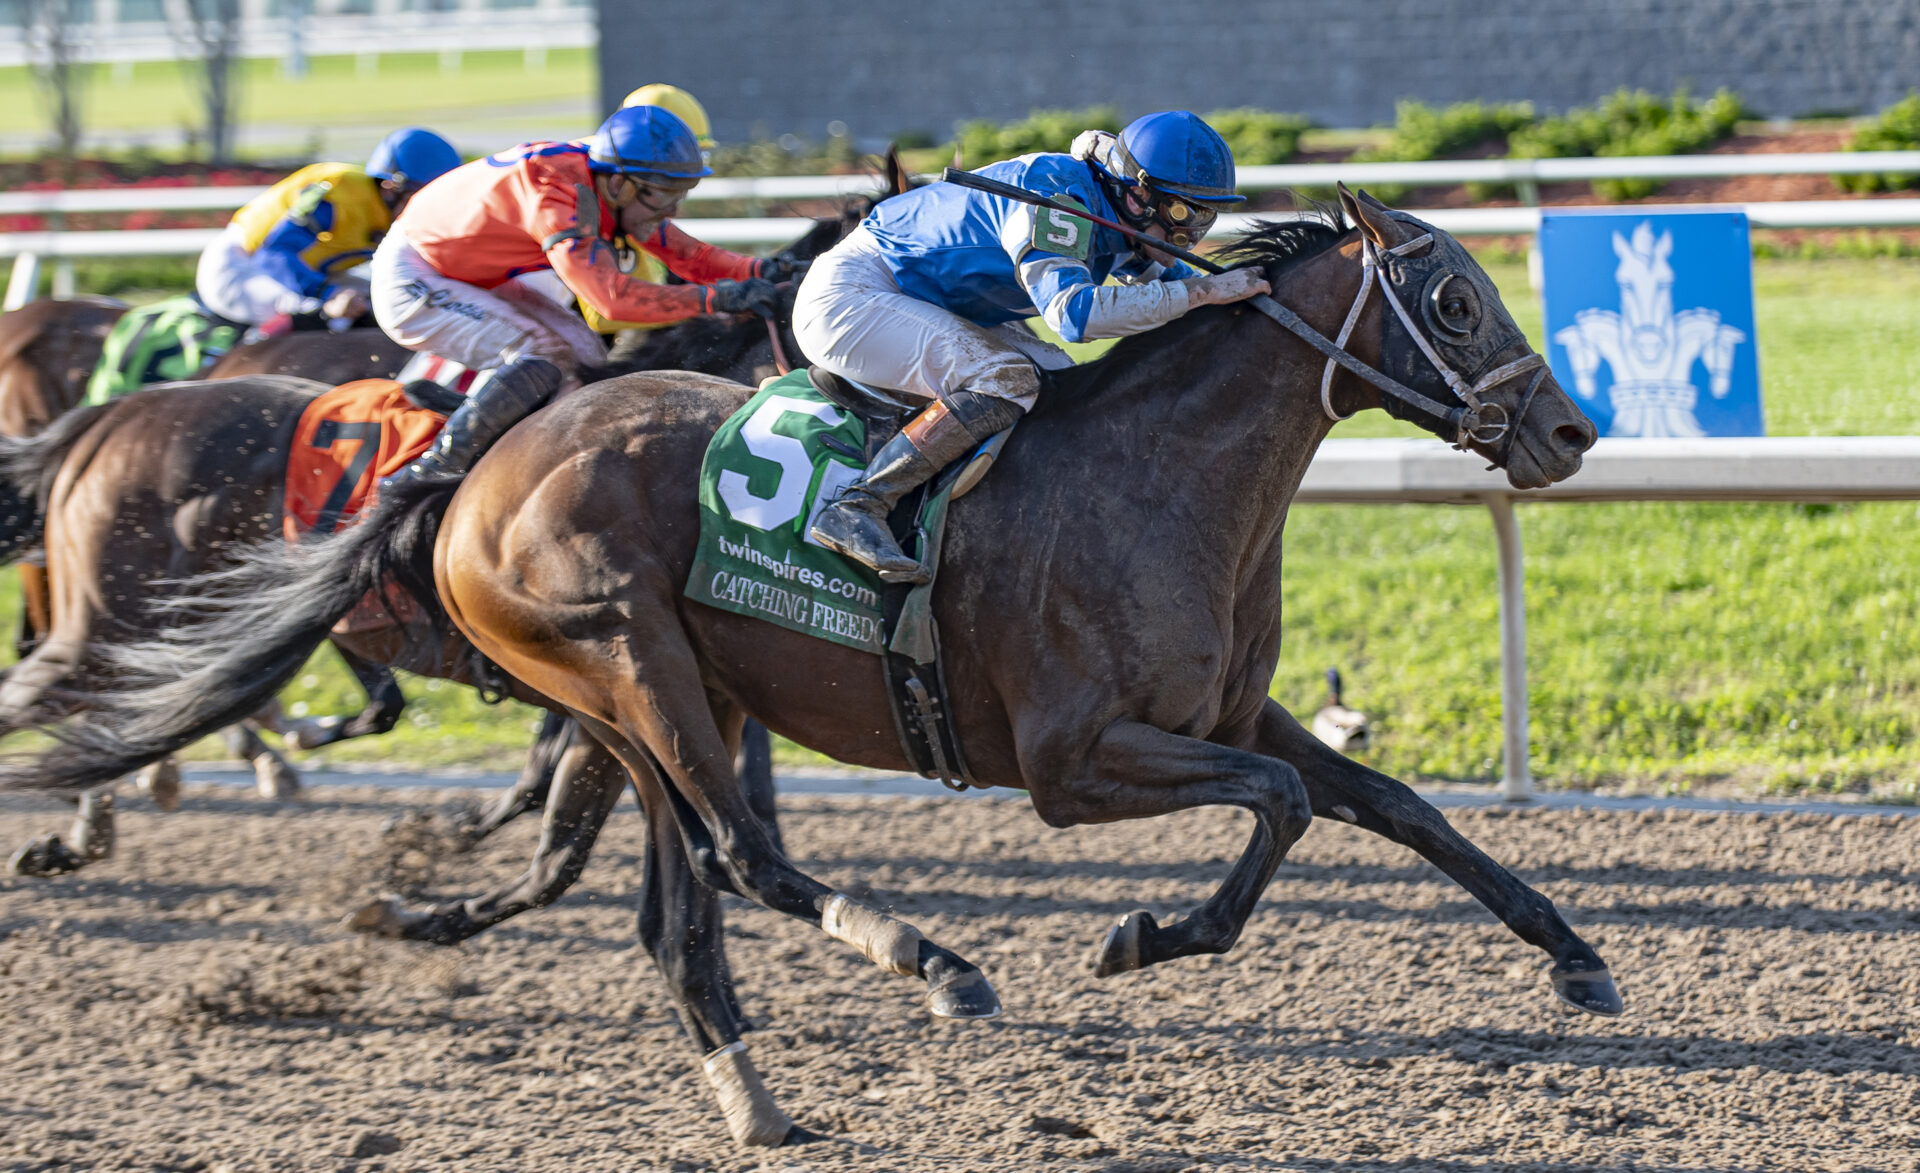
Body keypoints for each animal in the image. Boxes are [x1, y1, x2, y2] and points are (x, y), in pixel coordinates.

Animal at [0, 190, 1620, 1144]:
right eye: (1456, 301)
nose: (1567, 433)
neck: (1157, 479)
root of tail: (474, 469)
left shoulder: (1229, 710)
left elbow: (1395, 804)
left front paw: (1577, 955)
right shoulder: (1071, 765)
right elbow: (1278, 809)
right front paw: (1140, 935)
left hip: (642, 703)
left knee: (674, 904)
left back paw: (750, 1096)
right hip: (630, 663)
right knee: (742, 860)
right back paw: (935, 966)